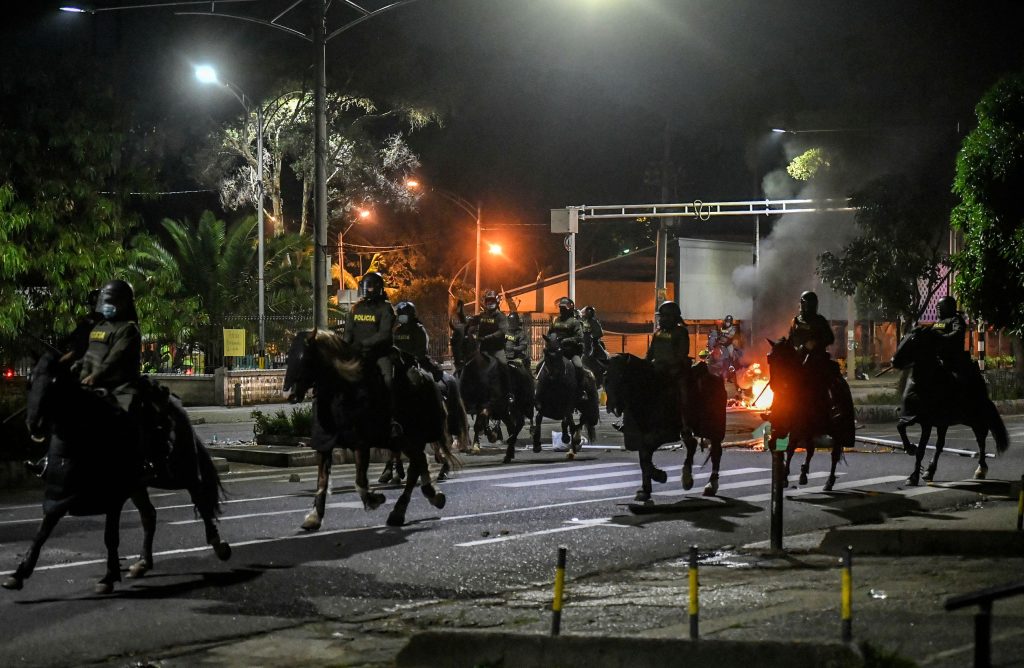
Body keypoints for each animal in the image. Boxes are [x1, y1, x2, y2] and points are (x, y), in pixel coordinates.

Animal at [3, 352, 230, 594]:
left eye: (56, 383)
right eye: (29, 382)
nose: (33, 424)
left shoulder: (113, 496)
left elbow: (110, 537)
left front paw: (109, 576)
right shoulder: (58, 495)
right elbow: (41, 533)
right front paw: (19, 573)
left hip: (179, 473)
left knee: (200, 498)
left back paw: (218, 545)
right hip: (138, 486)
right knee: (149, 516)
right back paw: (143, 562)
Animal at [282, 329, 454, 532]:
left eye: (306, 358)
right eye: (289, 357)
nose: (289, 394)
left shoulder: (361, 443)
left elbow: (360, 481)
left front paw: (374, 499)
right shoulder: (324, 445)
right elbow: (322, 480)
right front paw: (314, 517)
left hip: (411, 437)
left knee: (415, 467)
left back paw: (401, 510)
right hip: (406, 441)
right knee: (419, 462)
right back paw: (427, 495)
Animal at [606, 354, 729, 499]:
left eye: (621, 376)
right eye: (606, 378)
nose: (612, 407)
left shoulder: (665, 434)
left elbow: (646, 454)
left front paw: (659, 475)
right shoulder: (641, 435)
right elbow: (644, 458)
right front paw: (645, 489)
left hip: (715, 429)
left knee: (715, 452)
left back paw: (711, 485)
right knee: (692, 444)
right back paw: (687, 479)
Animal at [765, 340, 851, 489]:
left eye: (783, 358)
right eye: (769, 358)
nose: (774, 386)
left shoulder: (800, 428)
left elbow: (793, 448)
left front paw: (788, 476)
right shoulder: (783, 426)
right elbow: (773, 444)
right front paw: (783, 474)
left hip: (836, 430)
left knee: (834, 454)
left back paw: (829, 481)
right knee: (810, 448)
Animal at [897, 325, 1007, 485]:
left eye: (913, 339)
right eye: (902, 337)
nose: (894, 361)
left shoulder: (927, 422)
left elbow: (922, 449)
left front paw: (914, 473)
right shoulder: (912, 417)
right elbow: (901, 428)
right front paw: (910, 451)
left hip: (976, 420)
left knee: (981, 440)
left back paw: (981, 469)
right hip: (946, 423)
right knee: (940, 445)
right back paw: (929, 472)